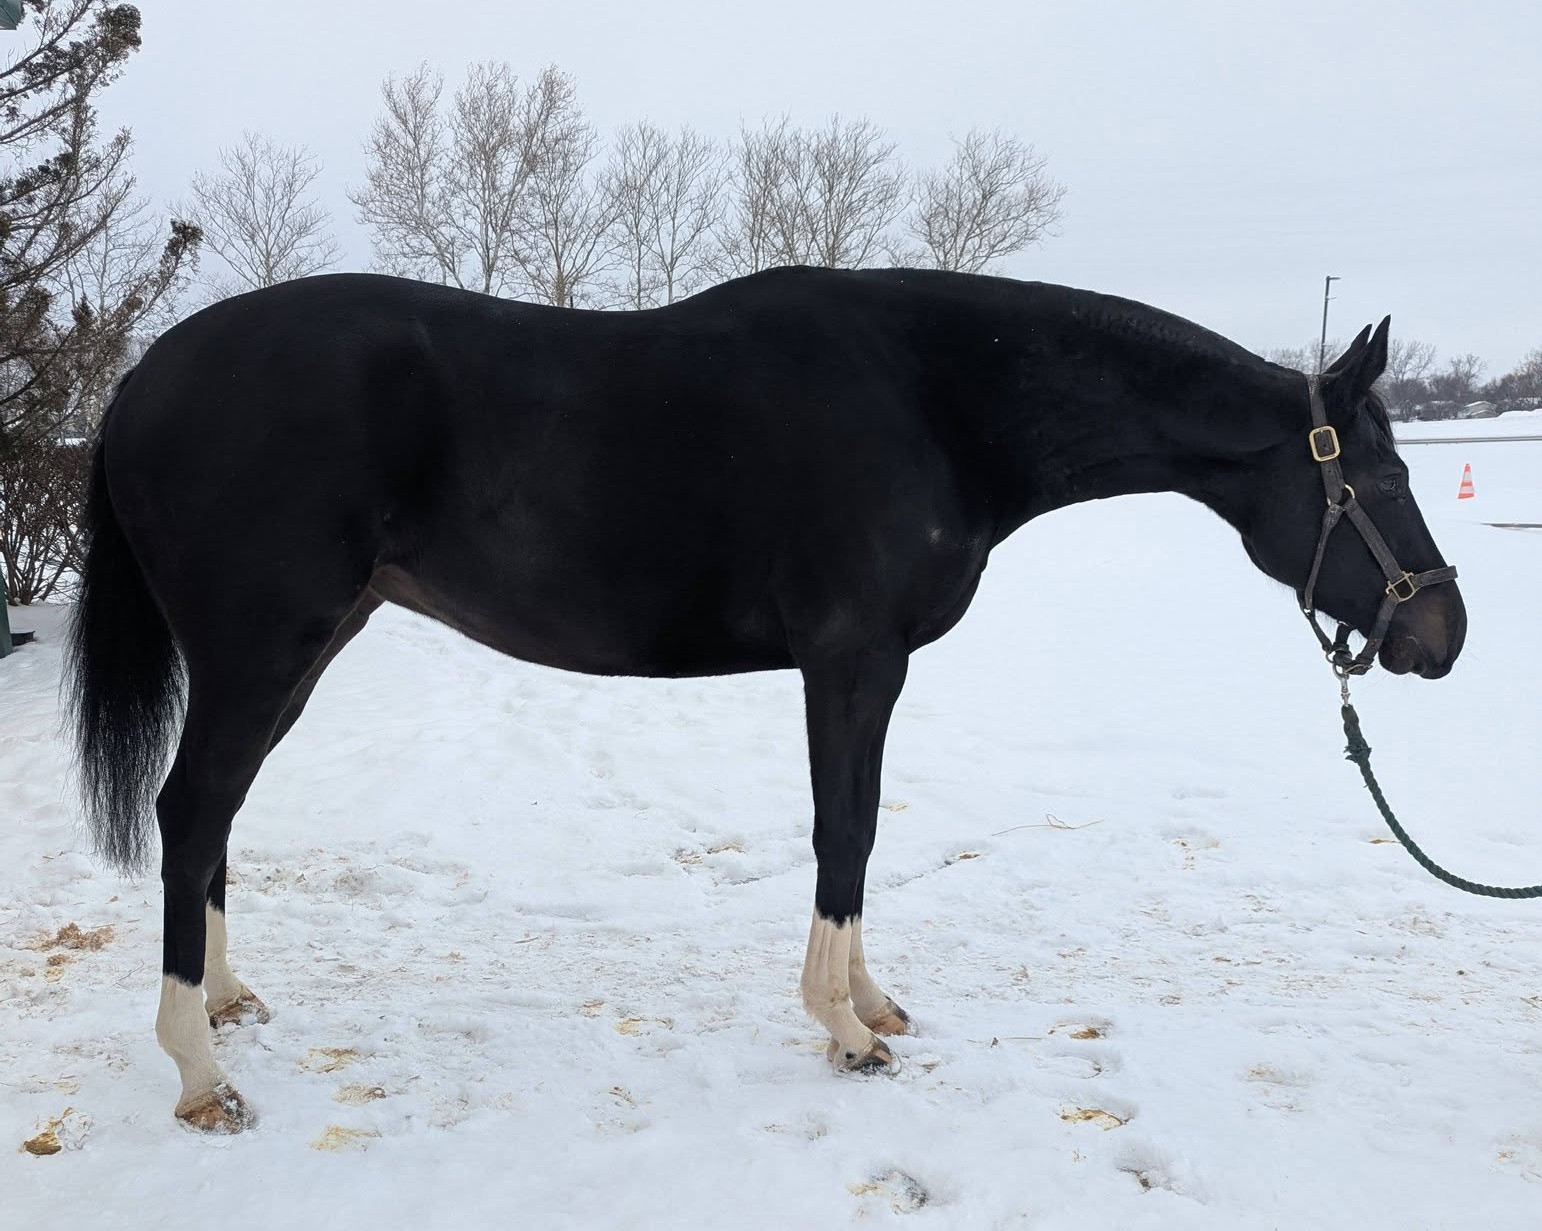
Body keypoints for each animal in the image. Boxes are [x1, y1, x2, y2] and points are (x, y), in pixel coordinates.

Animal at [66, 266, 1465, 1132]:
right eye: (1382, 475)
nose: (1443, 634)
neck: (934, 397)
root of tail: (136, 382)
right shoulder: (852, 659)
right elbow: (842, 831)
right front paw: (845, 1030)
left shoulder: (870, 669)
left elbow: (863, 828)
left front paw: (873, 1001)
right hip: (264, 648)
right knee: (190, 810)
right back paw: (198, 1070)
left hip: (302, 650)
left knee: (217, 817)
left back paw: (229, 1002)